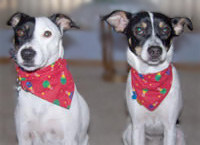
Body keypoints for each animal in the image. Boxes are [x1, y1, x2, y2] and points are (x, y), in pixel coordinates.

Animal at [103, 10, 192, 145]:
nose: (155, 50)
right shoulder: (138, 126)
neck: (152, 78)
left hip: (179, 135)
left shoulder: (170, 127)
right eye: (139, 29)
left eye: (165, 30)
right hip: (128, 133)